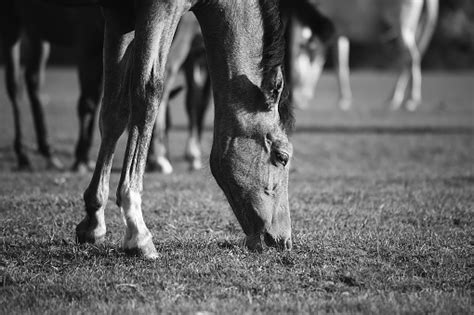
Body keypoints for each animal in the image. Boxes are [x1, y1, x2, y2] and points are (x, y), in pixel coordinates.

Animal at [0, 0, 103, 172]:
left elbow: (98, 102)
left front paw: (86, 158)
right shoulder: (86, 42)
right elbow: (87, 104)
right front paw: (80, 160)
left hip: (37, 29)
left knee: (33, 81)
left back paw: (48, 152)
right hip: (11, 24)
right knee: (14, 87)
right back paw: (23, 156)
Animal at [290, 0, 438, 111]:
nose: (295, 101)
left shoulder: (327, 33)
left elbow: (320, 64)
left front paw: (306, 96)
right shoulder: (339, 34)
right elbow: (338, 65)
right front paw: (343, 99)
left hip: (402, 25)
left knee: (411, 58)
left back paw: (410, 100)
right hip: (415, 27)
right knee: (406, 60)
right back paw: (393, 99)